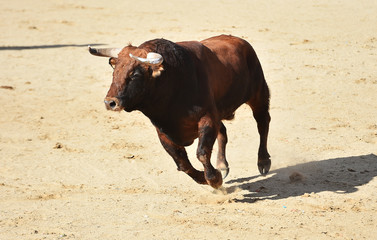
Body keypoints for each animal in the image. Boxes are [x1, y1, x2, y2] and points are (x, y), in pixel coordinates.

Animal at [89, 34, 270, 188]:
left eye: (135, 74)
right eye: (115, 71)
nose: (110, 102)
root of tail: (240, 41)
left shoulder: (207, 118)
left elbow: (202, 152)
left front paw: (214, 180)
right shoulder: (163, 131)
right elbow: (182, 163)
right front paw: (205, 178)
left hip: (258, 93)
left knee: (262, 123)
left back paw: (263, 162)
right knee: (223, 131)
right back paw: (222, 165)